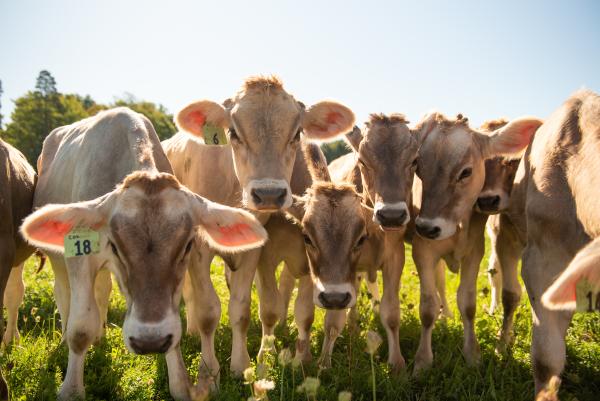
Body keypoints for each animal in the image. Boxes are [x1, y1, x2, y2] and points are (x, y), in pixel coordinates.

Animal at [25, 107, 264, 400]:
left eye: (187, 245)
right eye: (115, 245)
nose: (150, 341)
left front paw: (181, 383)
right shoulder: (80, 258)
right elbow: (80, 328)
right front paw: (71, 389)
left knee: (101, 291)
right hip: (58, 260)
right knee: (63, 294)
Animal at [162, 76, 354, 376]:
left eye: (297, 133)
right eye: (233, 132)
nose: (269, 194)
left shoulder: (258, 252)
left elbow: (244, 308)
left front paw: (243, 365)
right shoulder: (199, 250)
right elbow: (207, 311)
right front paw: (209, 370)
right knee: (189, 293)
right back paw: (191, 330)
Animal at [412, 111, 544, 370]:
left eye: (465, 172)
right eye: (418, 169)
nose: (427, 227)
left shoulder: (474, 253)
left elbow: (468, 303)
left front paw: (472, 354)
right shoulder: (422, 252)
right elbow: (427, 308)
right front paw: (422, 360)